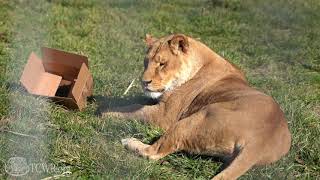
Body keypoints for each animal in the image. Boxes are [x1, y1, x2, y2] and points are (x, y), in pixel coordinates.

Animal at [102, 34, 290, 180]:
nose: (143, 82)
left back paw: (128, 141)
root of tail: (261, 141)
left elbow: (131, 110)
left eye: (162, 64)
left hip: (194, 119)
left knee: (154, 152)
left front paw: (104, 112)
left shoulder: (164, 116)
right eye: (145, 62)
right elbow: (135, 102)